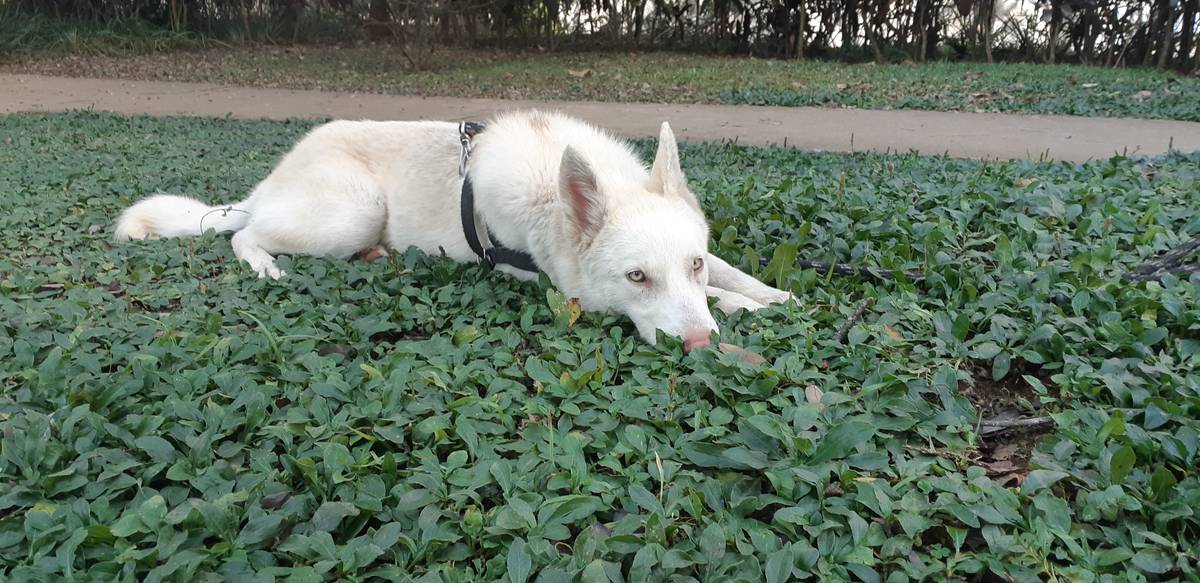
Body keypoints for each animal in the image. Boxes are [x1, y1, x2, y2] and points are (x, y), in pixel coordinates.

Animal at [114, 110, 792, 351]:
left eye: (691, 263)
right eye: (636, 277)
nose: (700, 346)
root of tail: (271, 179)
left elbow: (731, 275)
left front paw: (775, 295)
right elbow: (721, 298)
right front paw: (743, 308)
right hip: (350, 212)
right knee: (242, 234)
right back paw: (264, 264)